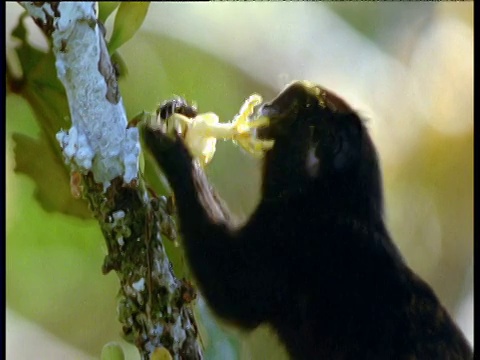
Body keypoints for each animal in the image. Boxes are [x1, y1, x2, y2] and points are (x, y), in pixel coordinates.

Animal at [142, 82, 472, 360]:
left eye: (293, 107)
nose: (266, 107)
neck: (328, 197)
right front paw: (182, 112)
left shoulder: (297, 232)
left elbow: (232, 290)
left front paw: (175, 150)